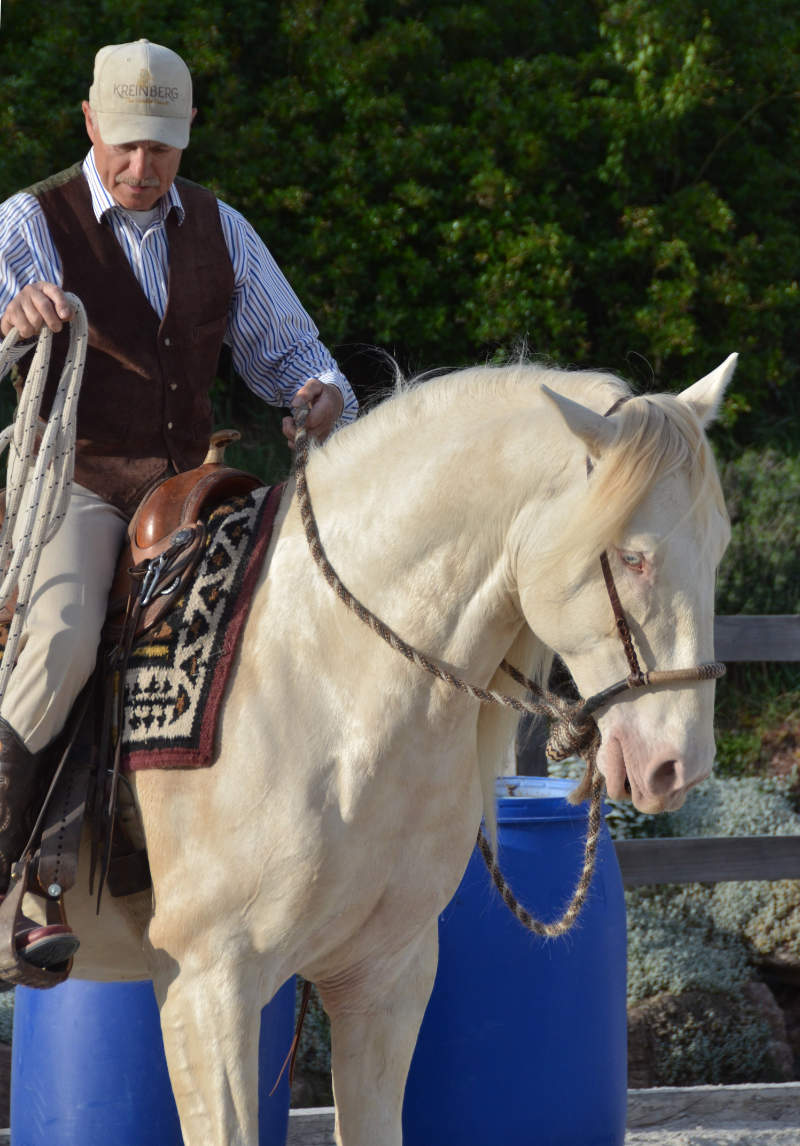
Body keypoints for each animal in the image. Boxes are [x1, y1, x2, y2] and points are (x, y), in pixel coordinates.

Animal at [31, 352, 733, 1141]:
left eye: (718, 547)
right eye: (632, 558)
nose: (675, 765)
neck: (316, 682)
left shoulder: (384, 982)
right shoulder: (209, 988)